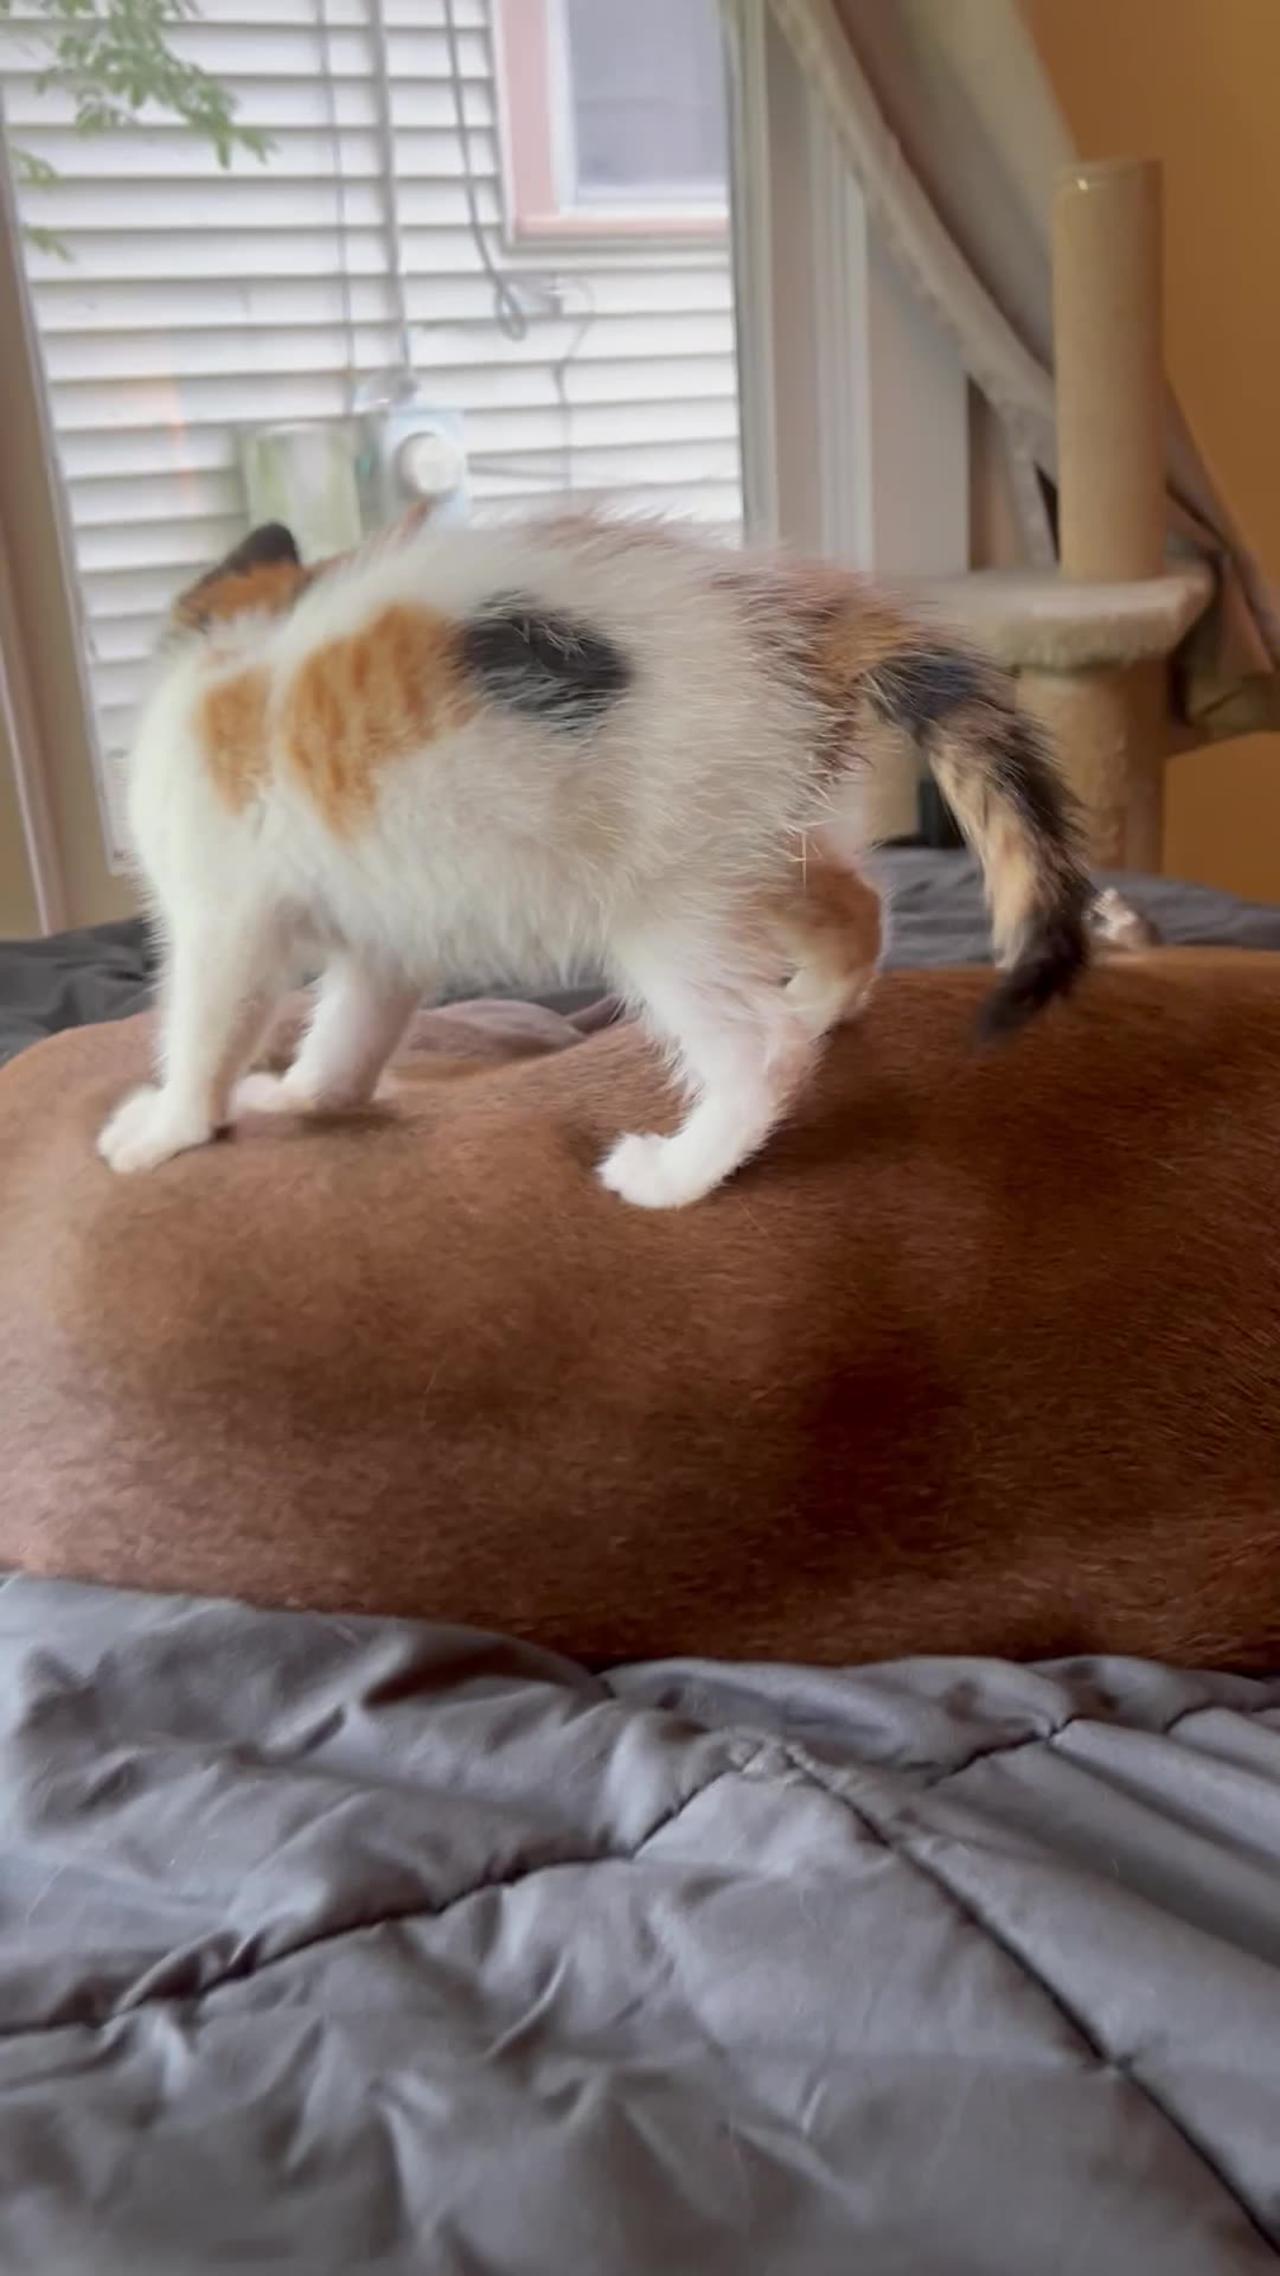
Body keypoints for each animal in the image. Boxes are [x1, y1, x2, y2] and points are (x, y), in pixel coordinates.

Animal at [97, 505, 1084, 1201]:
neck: (236, 642)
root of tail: (803, 626)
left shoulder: (225, 914)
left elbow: (207, 1025)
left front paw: (169, 1129)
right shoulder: (386, 933)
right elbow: (353, 1029)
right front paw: (306, 1097)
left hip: (656, 885)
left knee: (757, 1047)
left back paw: (680, 1173)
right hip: (743, 841)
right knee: (854, 909)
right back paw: (818, 1007)